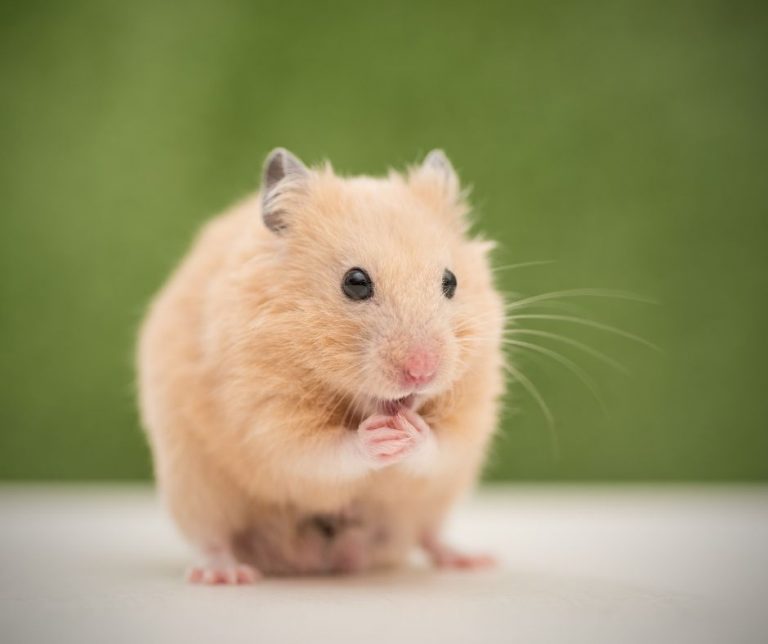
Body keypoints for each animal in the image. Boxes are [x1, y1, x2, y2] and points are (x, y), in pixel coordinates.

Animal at [137, 148, 505, 583]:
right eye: (355, 282)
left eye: (451, 281)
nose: (422, 371)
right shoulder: (265, 417)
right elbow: (320, 453)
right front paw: (379, 436)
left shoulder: (471, 414)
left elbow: (441, 445)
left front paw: (410, 432)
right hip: (193, 486)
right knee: (212, 538)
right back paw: (226, 574)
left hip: (435, 500)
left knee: (427, 533)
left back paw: (472, 559)